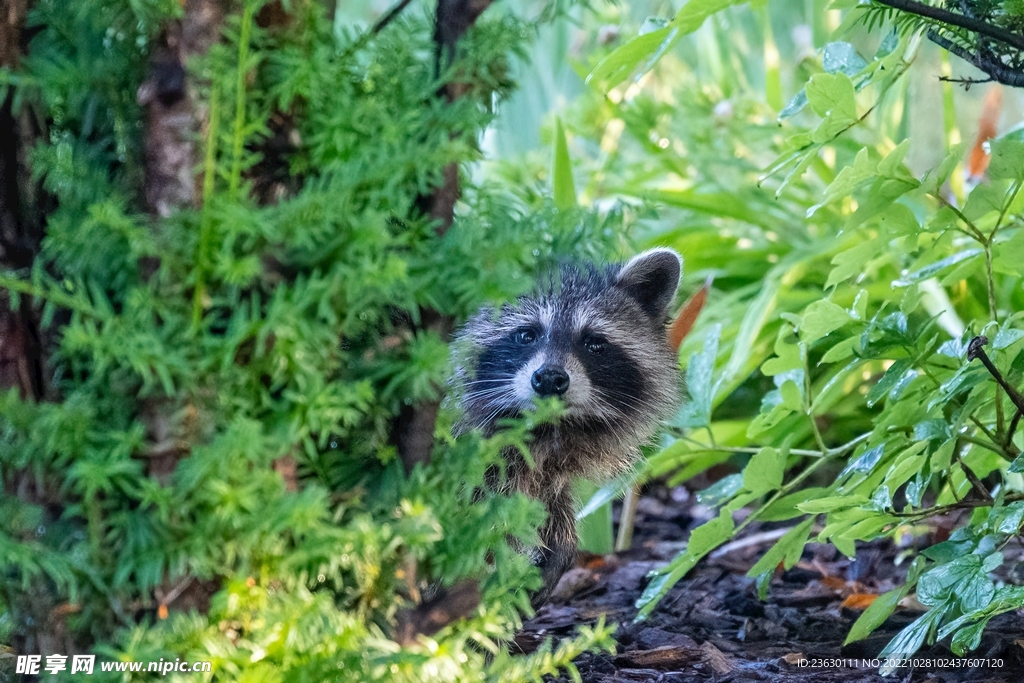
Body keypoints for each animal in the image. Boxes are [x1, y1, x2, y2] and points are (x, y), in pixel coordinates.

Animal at [454, 248, 679, 606]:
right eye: (527, 334)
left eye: (593, 342)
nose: (549, 378)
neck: (549, 429)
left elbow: (549, 501)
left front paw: (560, 542)